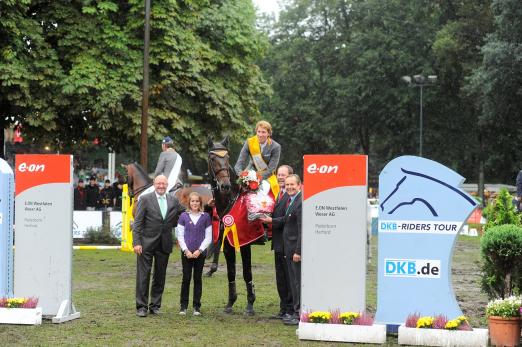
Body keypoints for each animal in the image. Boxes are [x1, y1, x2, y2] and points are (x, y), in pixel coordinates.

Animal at [206, 137, 256, 316]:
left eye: (227, 158)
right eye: (212, 158)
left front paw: (250, 304)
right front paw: (230, 303)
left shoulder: (245, 242)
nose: (225, 186)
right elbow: (231, 272)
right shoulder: (227, 243)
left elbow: (247, 272)